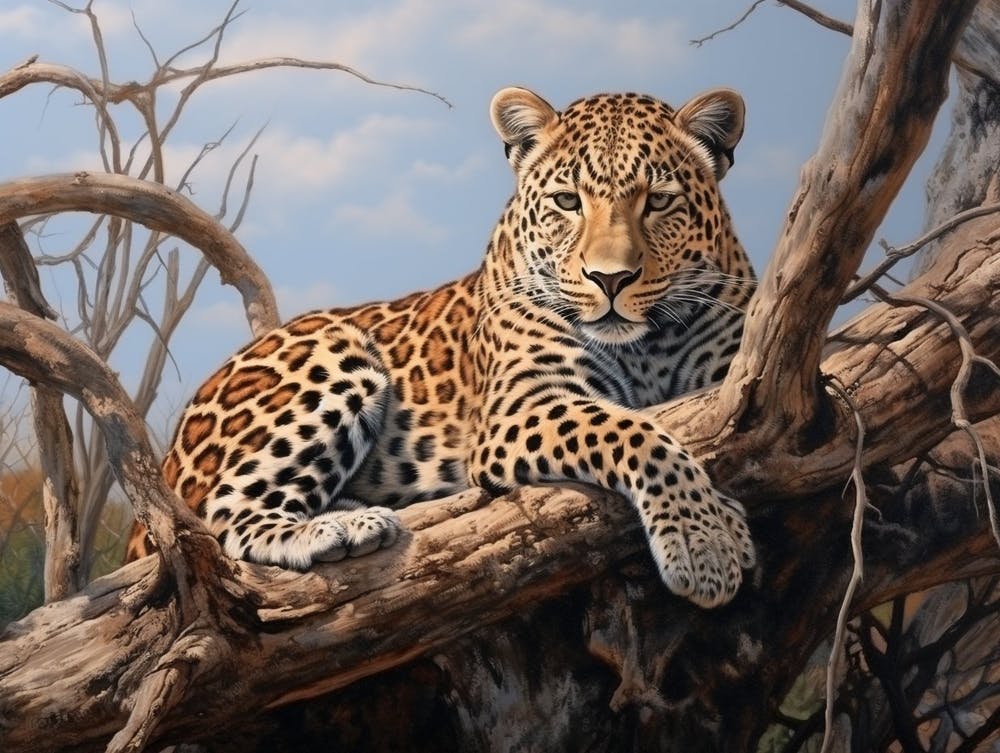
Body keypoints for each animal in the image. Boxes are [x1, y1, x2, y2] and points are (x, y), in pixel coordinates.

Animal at [126, 86, 758, 608]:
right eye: (568, 202)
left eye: (658, 202)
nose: (610, 279)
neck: (645, 345)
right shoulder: (522, 406)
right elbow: (634, 432)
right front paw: (706, 544)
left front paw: (715, 525)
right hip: (334, 353)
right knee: (225, 514)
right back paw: (336, 529)